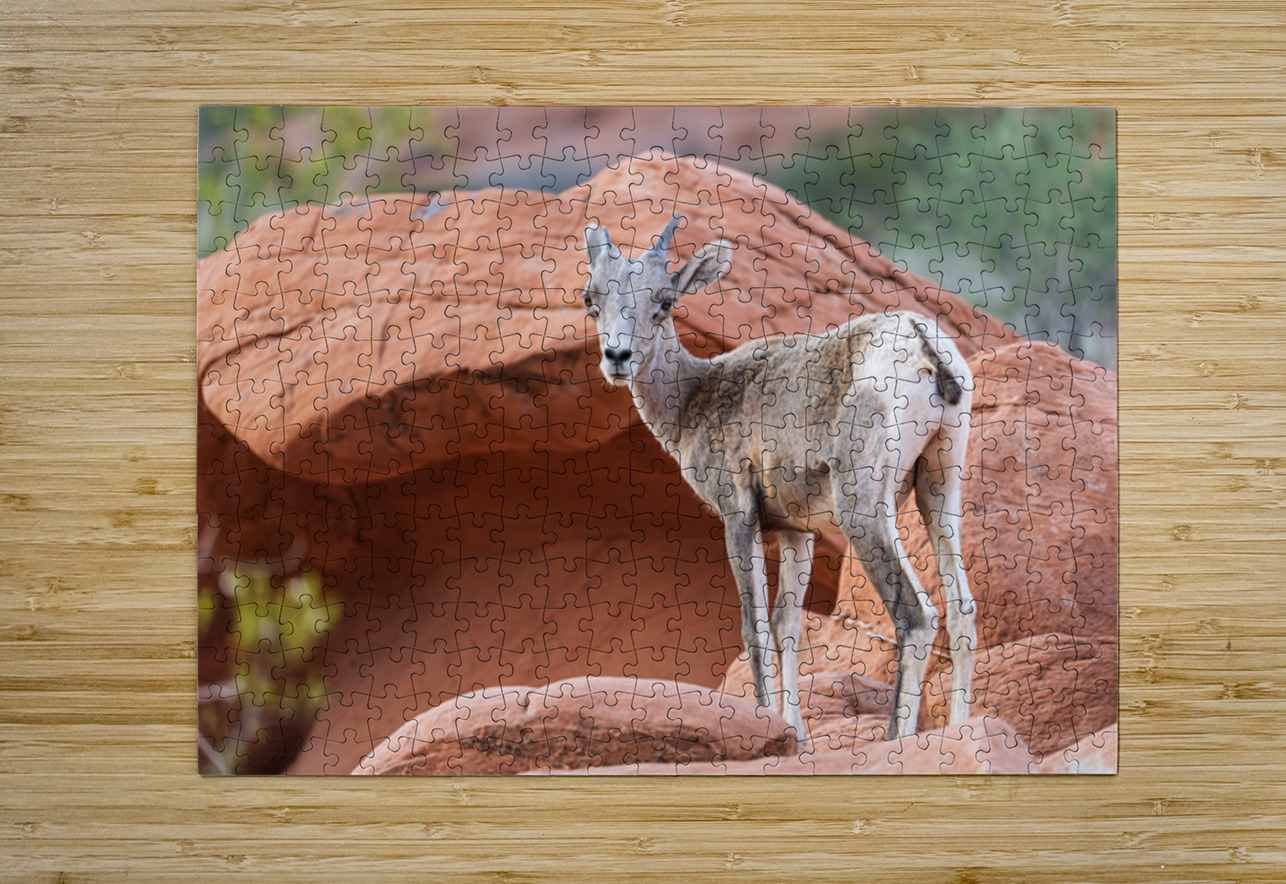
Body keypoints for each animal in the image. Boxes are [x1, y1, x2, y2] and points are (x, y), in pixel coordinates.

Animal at [579, 215, 976, 743]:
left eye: (664, 302)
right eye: (592, 298)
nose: (618, 357)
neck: (694, 399)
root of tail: (919, 341)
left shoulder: (739, 514)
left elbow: (756, 628)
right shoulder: (796, 532)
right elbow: (788, 626)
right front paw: (794, 734)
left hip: (865, 510)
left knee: (916, 616)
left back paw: (897, 740)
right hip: (940, 490)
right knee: (962, 611)